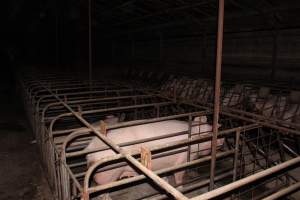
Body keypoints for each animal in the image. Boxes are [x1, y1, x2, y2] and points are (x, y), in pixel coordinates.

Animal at [84, 116, 223, 196]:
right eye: (210, 132)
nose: (222, 139)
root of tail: (90, 151)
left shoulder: (167, 163)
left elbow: (166, 174)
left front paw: (165, 181)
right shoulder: (182, 159)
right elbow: (179, 176)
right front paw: (181, 188)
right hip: (108, 174)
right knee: (102, 189)